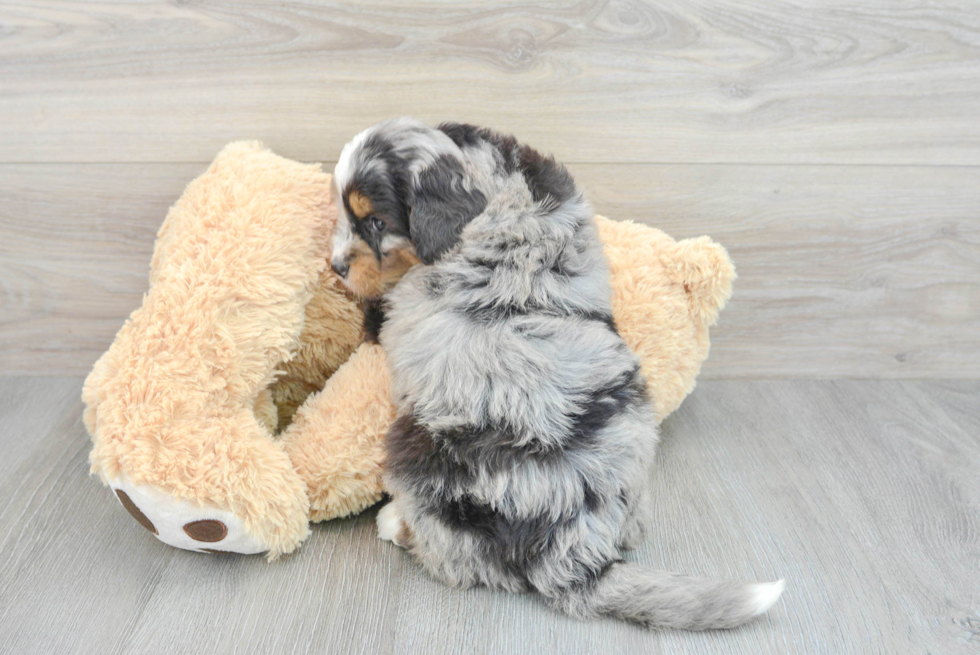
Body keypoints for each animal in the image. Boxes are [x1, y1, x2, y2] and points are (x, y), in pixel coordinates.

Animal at [334, 118, 784, 632]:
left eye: (376, 223)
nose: (335, 267)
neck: (499, 191)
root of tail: (577, 549)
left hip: (416, 453)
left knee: (448, 553)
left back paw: (394, 523)